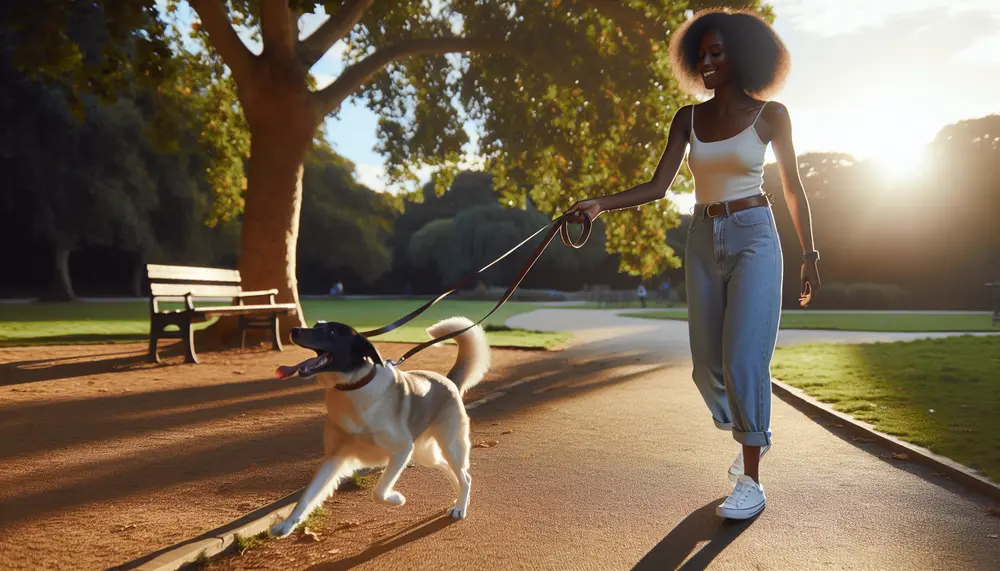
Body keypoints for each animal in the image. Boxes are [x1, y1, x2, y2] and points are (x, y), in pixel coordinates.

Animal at [268, 316, 490, 540]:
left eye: (331, 332)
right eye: (315, 326)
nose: (294, 330)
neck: (353, 387)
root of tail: (448, 381)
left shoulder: (401, 451)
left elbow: (379, 492)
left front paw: (397, 499)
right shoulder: (334, 458)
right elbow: (306, 497)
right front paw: (286, 526)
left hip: (450, 446)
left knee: (465, 476)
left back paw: (460, 506)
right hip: (424, 454)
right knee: (449, 470)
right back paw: (459, 498)